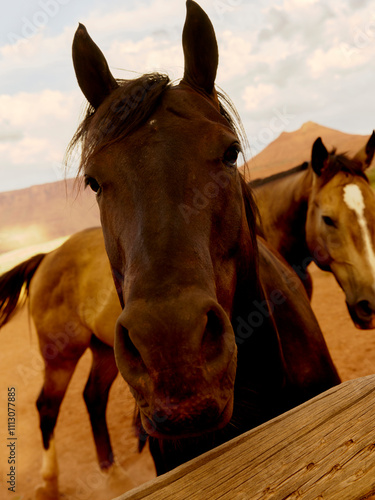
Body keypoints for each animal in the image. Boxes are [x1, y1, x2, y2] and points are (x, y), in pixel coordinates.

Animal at [0, 0, 340, 492]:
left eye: (230, 153)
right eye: (93, 181)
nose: (174, 355)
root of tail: (48, 256)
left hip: (103, 351)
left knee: (91, 397)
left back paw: (113, 470)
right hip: (61, 353)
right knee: (48, 405)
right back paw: (51, 481)